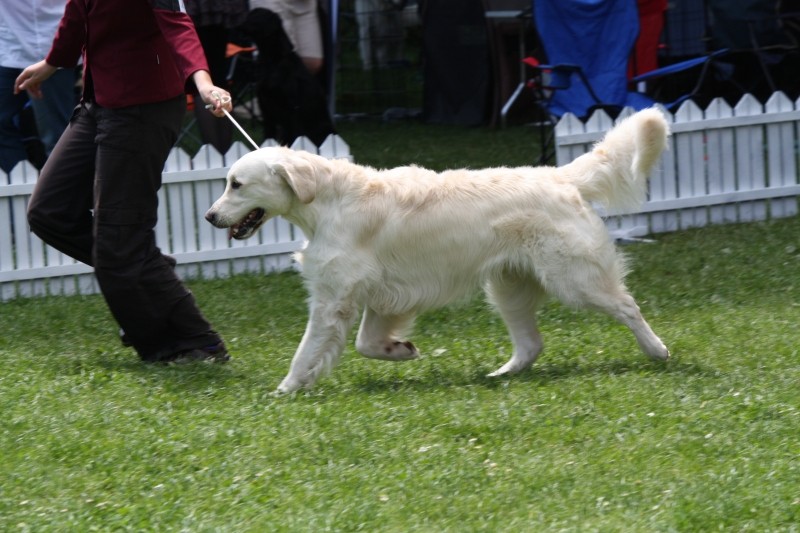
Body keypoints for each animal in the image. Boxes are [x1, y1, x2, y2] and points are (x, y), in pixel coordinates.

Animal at [205, 108, 668, 392]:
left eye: (236, 184)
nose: (209, 217)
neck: (327, 202)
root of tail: (562, 176)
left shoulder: (333, 299)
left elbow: (306, 352)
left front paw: (284, 391)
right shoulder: (381, 297)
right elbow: (365, 344)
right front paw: (400, 350)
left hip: (575, 280)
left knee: (628, 307)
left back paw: (657, 351)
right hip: (508, 288)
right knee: (531, 343)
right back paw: (500, 374)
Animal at [239, 9, 336, 148]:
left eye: (255, 15)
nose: (238, 24)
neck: (273, 61)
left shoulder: (292, 110)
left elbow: (296, 137)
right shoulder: (265, 109)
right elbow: (268, 137)